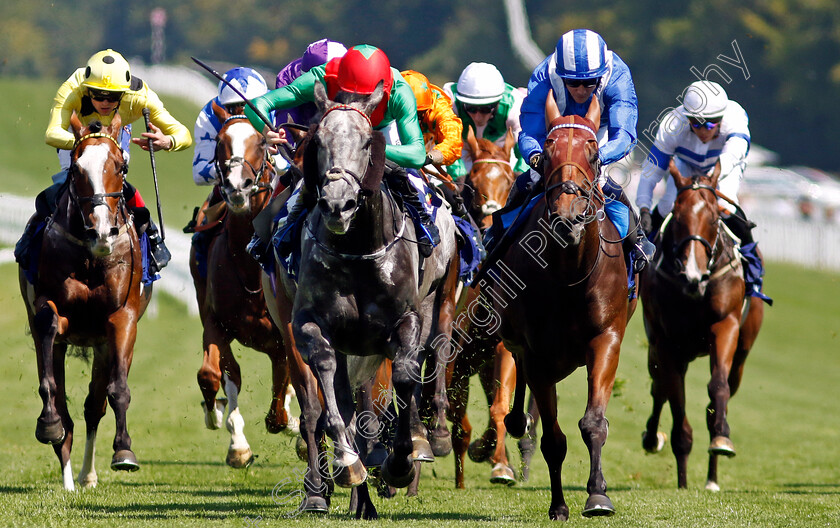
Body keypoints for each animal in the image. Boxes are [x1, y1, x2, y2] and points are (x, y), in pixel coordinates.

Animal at [19, 112, 153, 490]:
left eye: (121, 166)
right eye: (77, 169)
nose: (102, 232)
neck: (92, 257)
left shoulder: (121, 319)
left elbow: (116, 390)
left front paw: (124, 451)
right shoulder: (52, 312)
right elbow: (50, 379)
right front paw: (49, 424)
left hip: (104, 344)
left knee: (95, 406)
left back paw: (87, 474)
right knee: (65, 410)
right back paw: (67, 476)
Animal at [190, 101, 296, 468]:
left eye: (262, 142)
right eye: (220, 141)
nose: (238, 186)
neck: (250, 269)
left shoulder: (283, 337)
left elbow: (280, 401)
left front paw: (289, 423)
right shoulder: (215, 323)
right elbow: (214, 374)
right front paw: (234, 440)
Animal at [492, 94, 636, 520]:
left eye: (593, 151)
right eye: (547, 152)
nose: (568, 217)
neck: (570, 272)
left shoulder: (606, 338)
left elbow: (593, 423)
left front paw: (598, 496)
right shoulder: (538, 353)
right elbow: (553, 441)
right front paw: (558, 505)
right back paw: (517, 419)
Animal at [640, 160, 764, 490]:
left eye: (712, 217)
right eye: (677, 216)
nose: (692, 274)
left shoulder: (726, 326)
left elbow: (717, 388)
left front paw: (721, 439)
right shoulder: (666, 342)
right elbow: (674, 398)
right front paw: (682, 478)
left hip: (742, 352)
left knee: (721, 393)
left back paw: (712, 475)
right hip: (660, 349)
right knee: (659, 388)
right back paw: (653, 438)